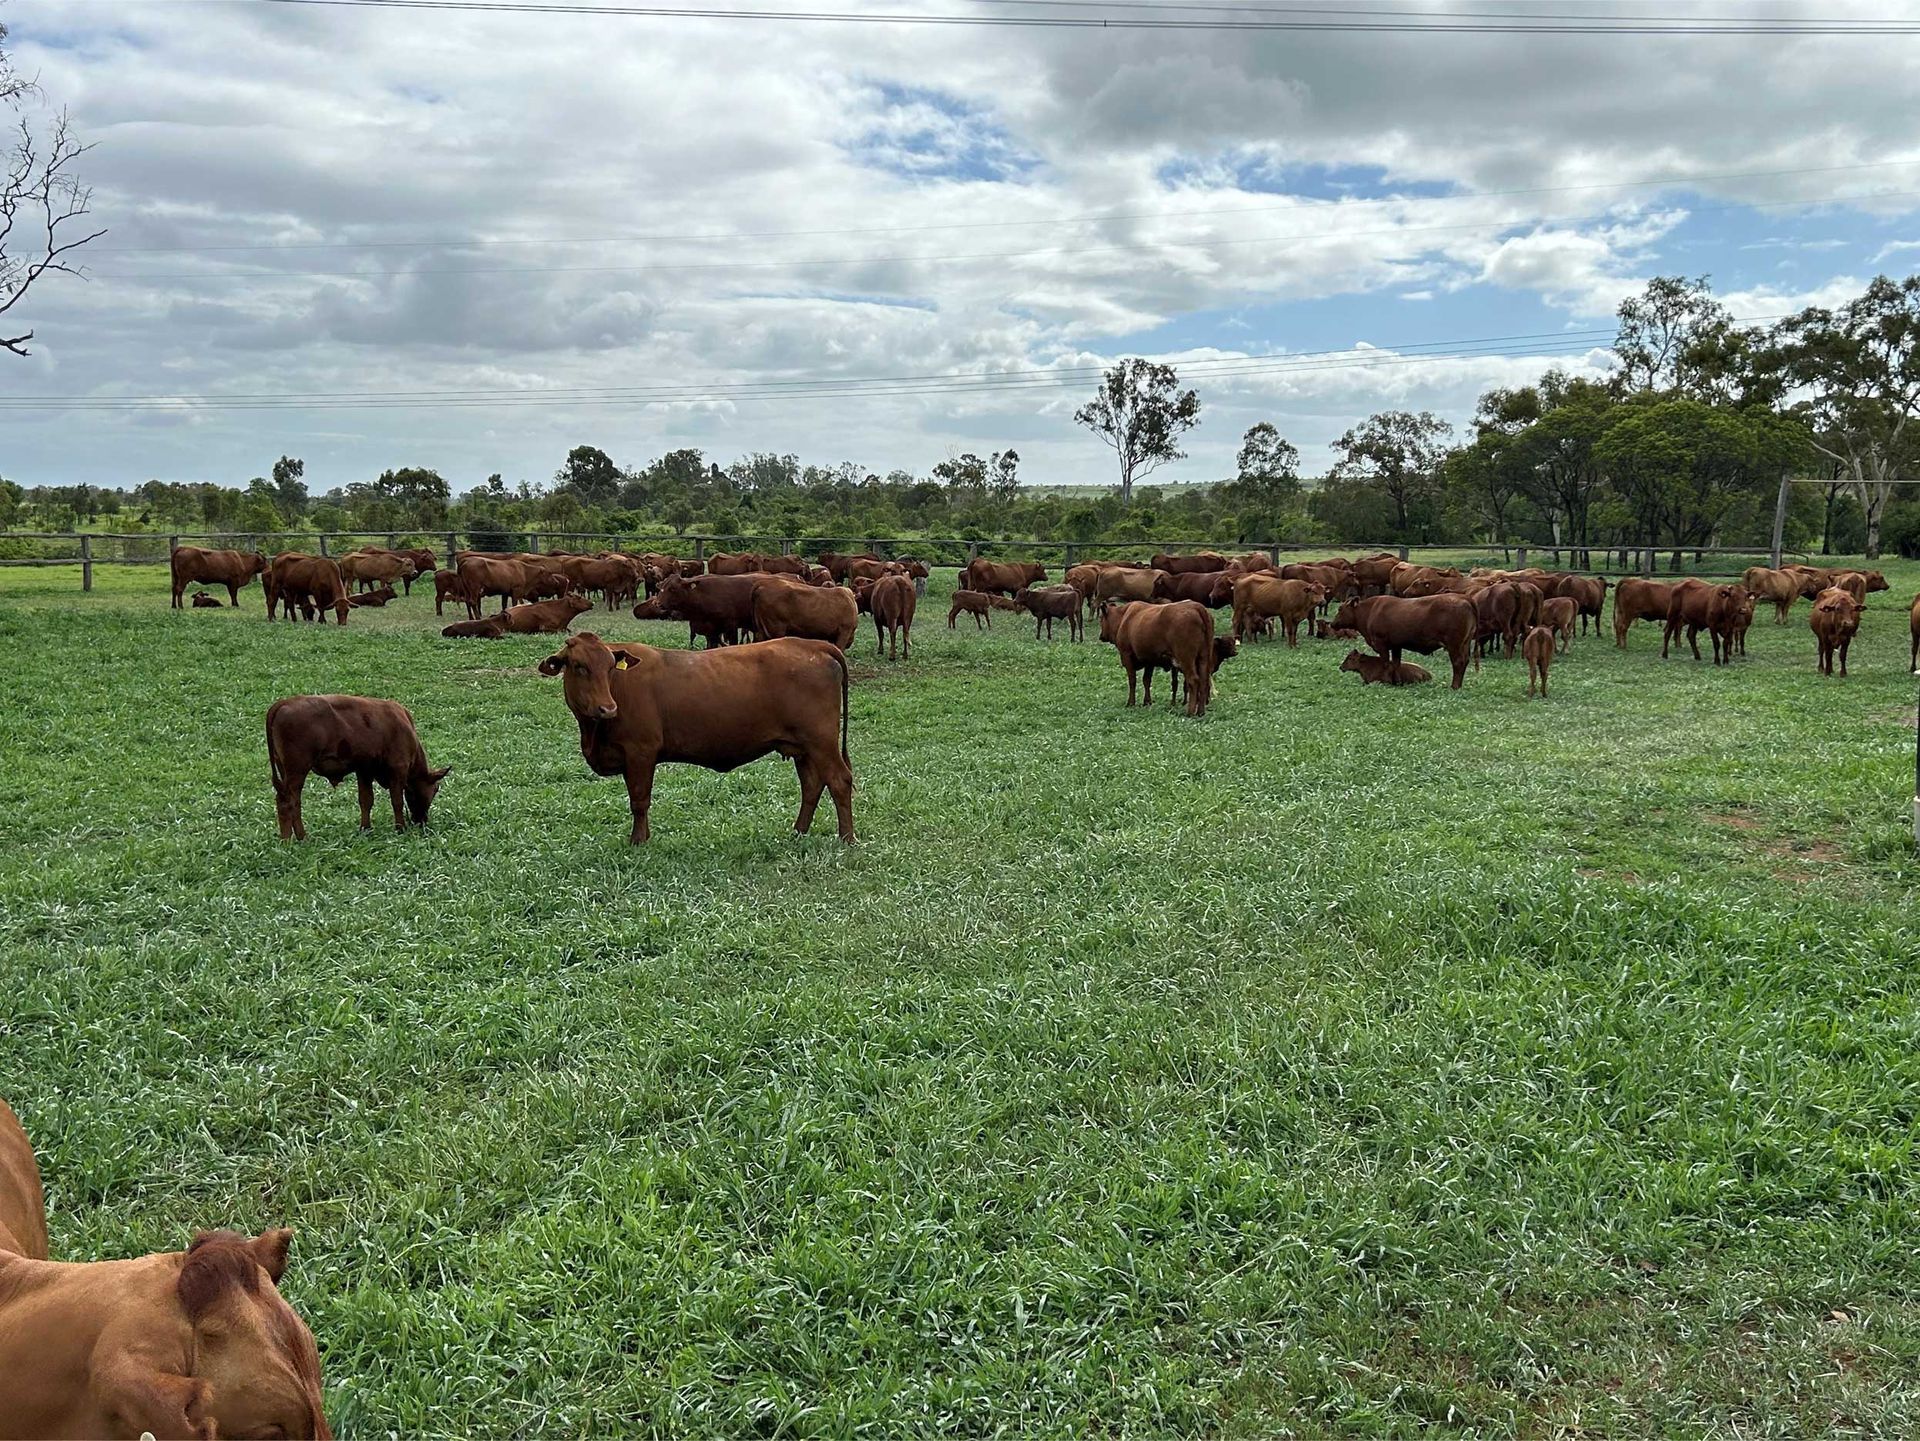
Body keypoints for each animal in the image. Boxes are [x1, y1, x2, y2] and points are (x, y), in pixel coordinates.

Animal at [265, 695, 449, 841]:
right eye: (434, 791)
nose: (422, 822)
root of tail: (284, 702)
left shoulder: (364, 770)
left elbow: (366, 800)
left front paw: (365, 829)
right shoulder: (398, 769)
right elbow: (396, 801)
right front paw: (400, 828)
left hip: (285, 772)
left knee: (289, 801)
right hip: (297, 772)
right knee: (289, 802)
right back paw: (295, 839)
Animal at [540, 632, 853, 844]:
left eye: (608, 667)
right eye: (579, 666)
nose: (607, 708)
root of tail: (812, 644)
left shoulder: (640, 751)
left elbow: (639, 800)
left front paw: (638, 841)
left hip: (821, 743)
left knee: (839, 780)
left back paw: (847, 839)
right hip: (803, 748)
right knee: (812, 785)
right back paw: (798, 832)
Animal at [1328, 594, 1476, 690]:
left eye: (1340, 609)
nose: (1333, 623)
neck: (1370, 611)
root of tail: (1464, 598)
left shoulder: (1382, 644)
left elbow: (1386, 663)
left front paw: (1387, 681)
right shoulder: (1396, 646)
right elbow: (1396, 663)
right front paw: (1397, 682)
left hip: (1454, 645)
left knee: (1458, 663)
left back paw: (1454, 686)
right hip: (1465, 644)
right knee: (1465, 661)